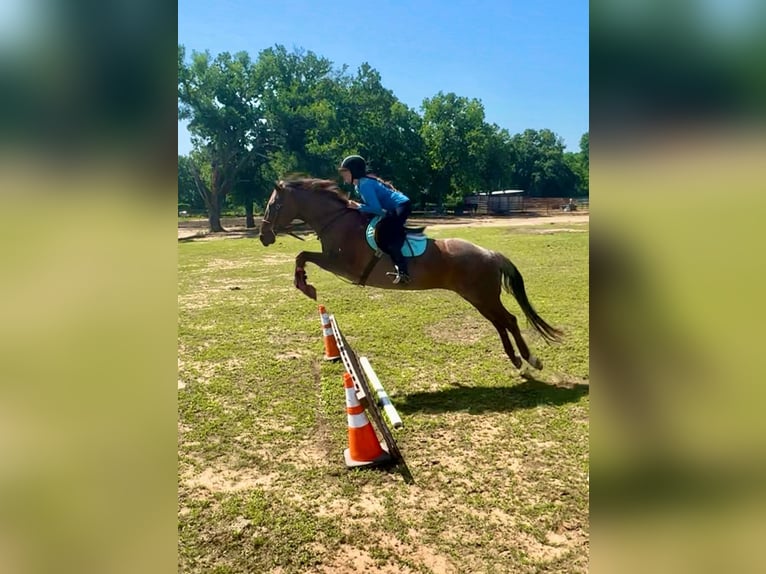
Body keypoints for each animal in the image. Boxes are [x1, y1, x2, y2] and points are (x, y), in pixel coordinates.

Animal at [259, 178, 562, 370]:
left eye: (273, 206)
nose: (264, 237)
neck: (337, 221)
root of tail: (490, 253)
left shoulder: (340, 264)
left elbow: (303, 255)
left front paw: (305, 286)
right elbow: (301, 256)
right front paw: (304, 284)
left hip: (483, 296)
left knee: (509, 320)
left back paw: (530, 359)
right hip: (477, 298)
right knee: (500, 323)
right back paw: (516, 360)